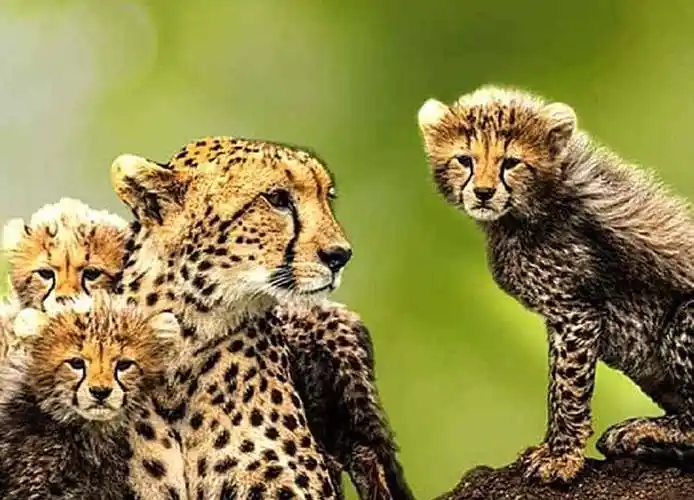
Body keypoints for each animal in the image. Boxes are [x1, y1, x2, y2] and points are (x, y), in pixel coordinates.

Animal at [418, 85, 694, 484]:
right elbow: (554, 383)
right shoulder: (560, 319)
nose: (483, 193)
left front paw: (561, 457)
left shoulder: (577, 315)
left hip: (682, 320)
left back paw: (643, 431)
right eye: (464, 160)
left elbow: (567, 389)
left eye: (511, 163)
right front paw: (554, 449)